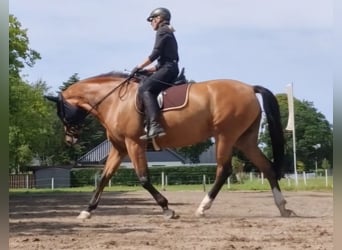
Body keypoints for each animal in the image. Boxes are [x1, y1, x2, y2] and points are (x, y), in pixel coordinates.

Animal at [45, 70, 294, 219]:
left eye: (61, 113)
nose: (69, 139)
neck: (115, 100)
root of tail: (249, 87)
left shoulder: (133, 144)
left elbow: (143, 178)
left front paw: (167, 208)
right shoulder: (119, 148)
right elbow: (104, 178)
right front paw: (87, 211)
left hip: (226, 136)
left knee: (224, 170)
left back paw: (203, 207)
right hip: (245, 139)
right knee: (266, 167)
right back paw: (282, 206)